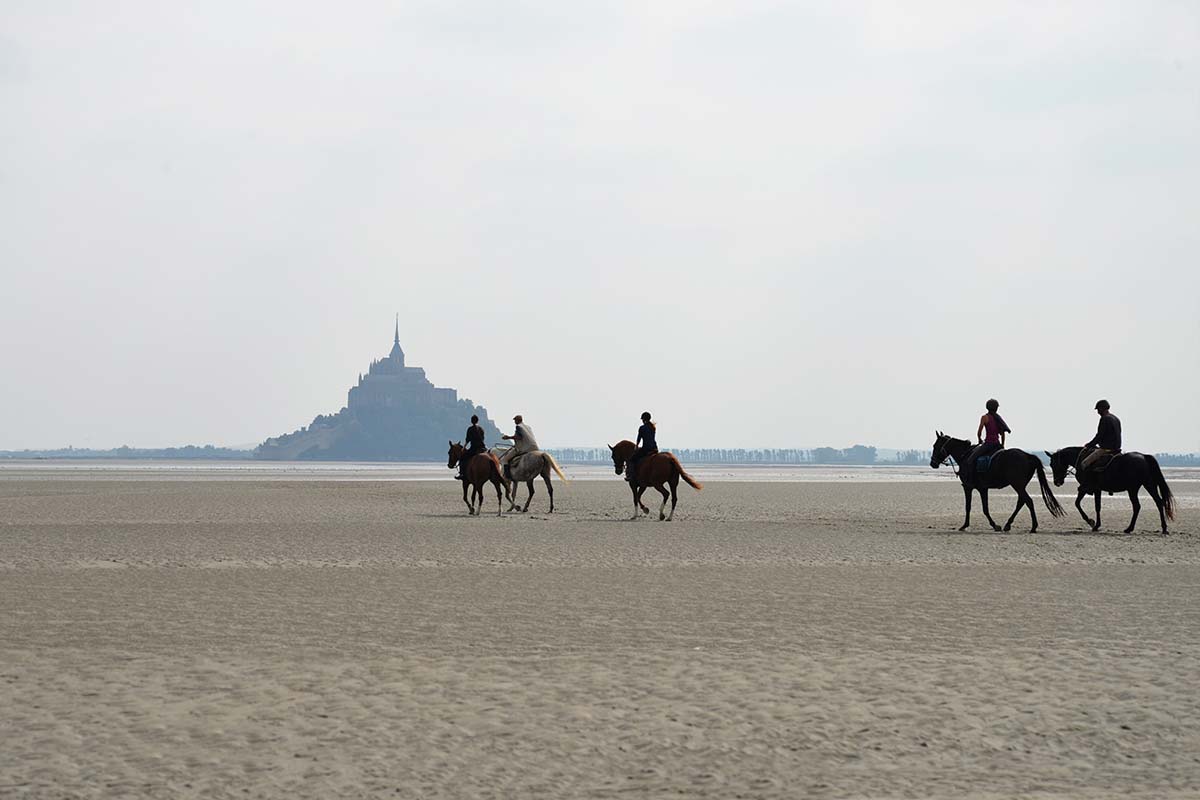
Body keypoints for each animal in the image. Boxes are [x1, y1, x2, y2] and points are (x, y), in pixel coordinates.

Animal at [931, 431, 1065, 532]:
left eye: (935, 446)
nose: (932, 463)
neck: (965, 455)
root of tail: (1027, 455)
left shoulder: (968, 487)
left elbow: (969, 507)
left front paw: (966, 525)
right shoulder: (982, 489)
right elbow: (985, 508)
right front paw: (994, 525)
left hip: (1017, 485)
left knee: (1028, 501)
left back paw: (1033, 527)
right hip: (1020, 486)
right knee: (1021, 501)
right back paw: (1008, 524)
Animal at [1046, 448, 1176, 534]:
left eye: (1052, 464)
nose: (1057, 482)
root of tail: (1144, 456)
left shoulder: (1085, 487)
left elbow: (1077, 503)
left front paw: (1091, 522)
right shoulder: (1097, 490)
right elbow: (1097, 506)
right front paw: (1096, 525)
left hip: (1134, 489)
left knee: (1139, 506)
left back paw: (1130, 528)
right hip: (1147, 485)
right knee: (1157, 502)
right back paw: (1162, 528)